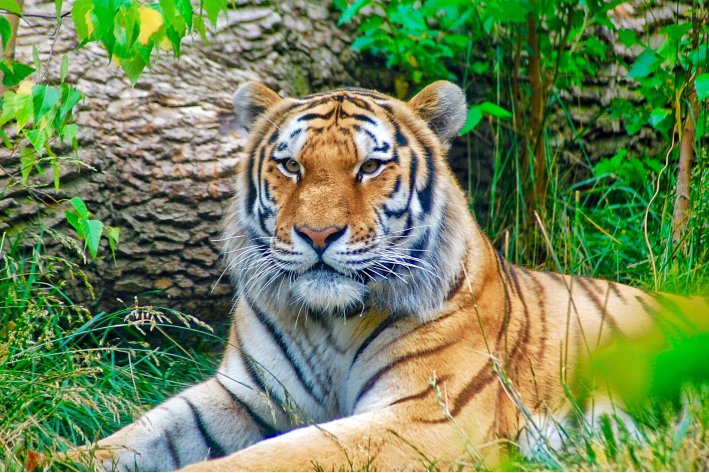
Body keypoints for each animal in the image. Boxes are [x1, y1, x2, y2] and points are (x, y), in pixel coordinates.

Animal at [77, 81, 708, 471]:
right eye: (290, 165)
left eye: (371, 166)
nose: (318, 235)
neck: (327, 323)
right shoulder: (246, 395)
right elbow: (140, 435)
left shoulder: (426, 417)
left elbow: (282, 456)